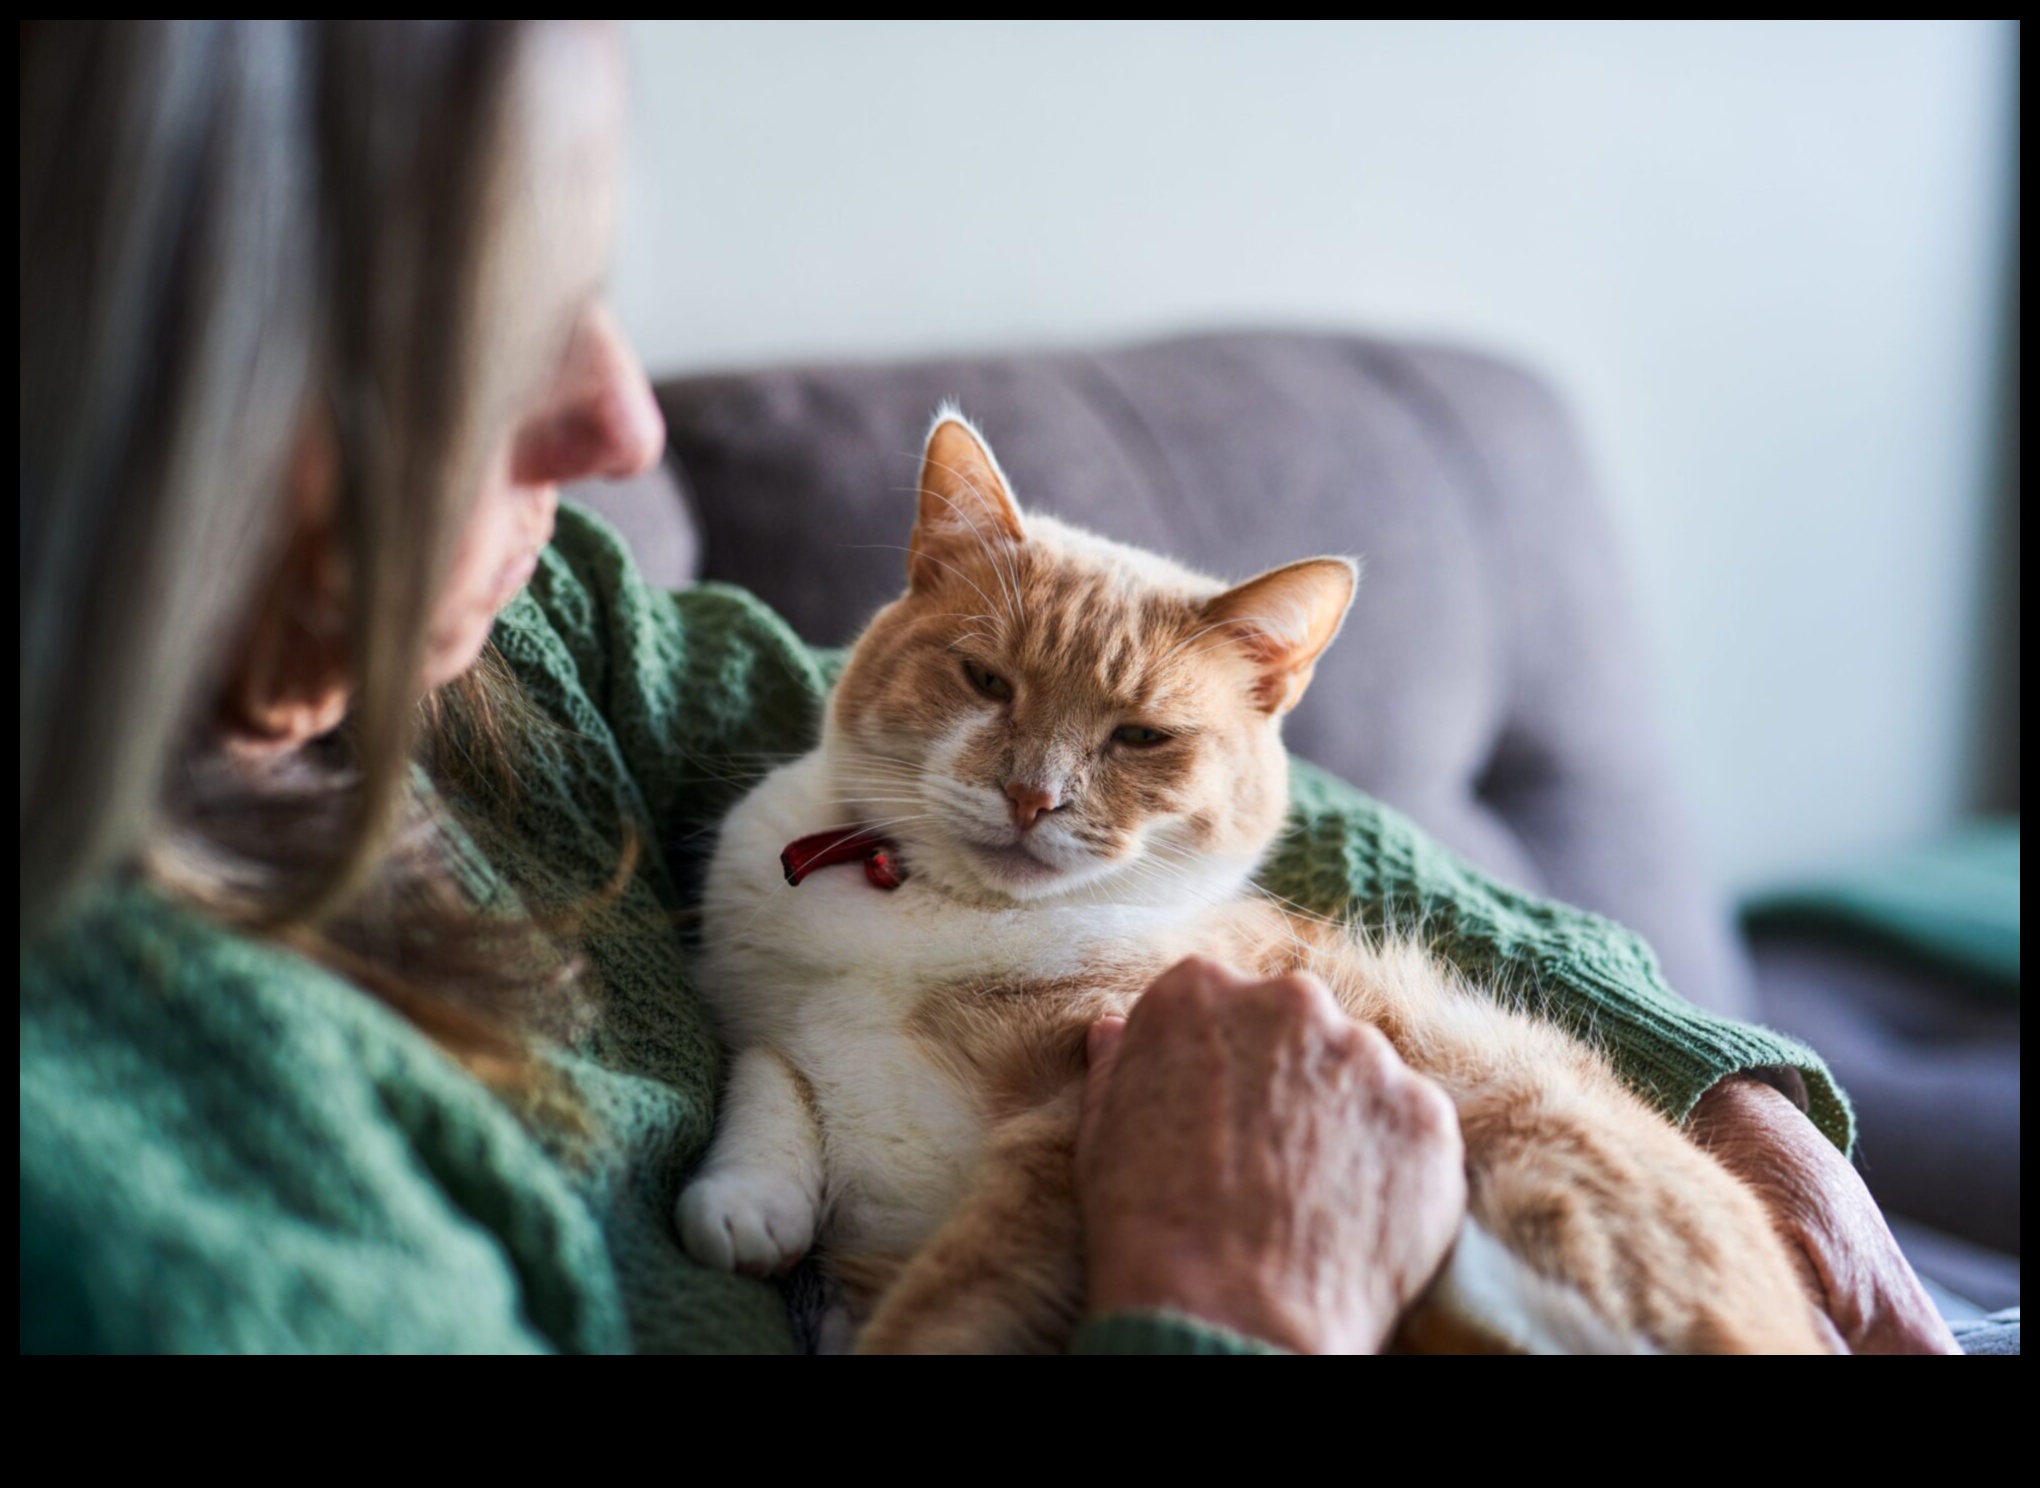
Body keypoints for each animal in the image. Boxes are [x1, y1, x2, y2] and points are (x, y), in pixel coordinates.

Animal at [673, 404, 1836, 1347]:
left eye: (1140, 737)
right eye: (985, 680)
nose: (1032, 795)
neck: (934, 919)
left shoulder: (1069, 1134)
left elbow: (953, 1305)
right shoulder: (760, 1009)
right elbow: (772, 1067)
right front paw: (747, 1201)